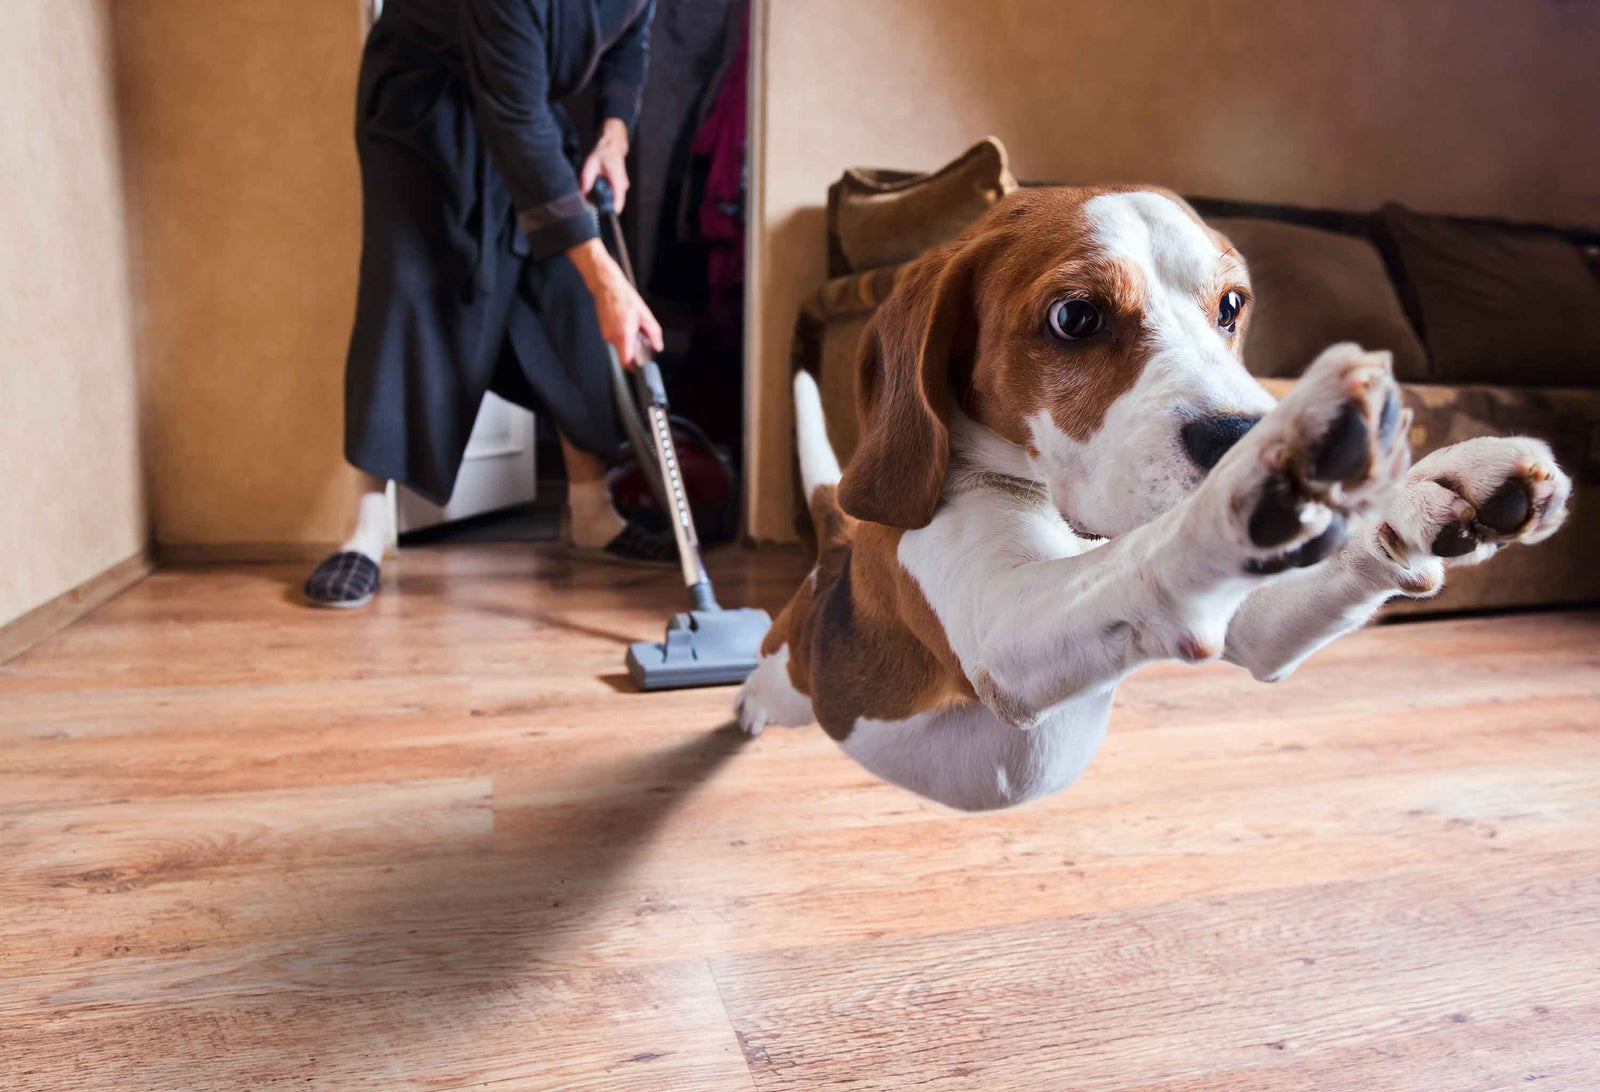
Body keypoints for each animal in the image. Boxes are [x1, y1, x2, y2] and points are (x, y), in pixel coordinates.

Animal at [739, 184, 1574, 806]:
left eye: (1231, 306)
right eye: (1075, 316)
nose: (1244, 430)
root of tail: (835, 555)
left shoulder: (1250, 624)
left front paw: (1430, 489)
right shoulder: (1002, 625)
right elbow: (1153, 550)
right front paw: (1265, 477)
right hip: (794, 675)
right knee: (765, 676)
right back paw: (745, 705)